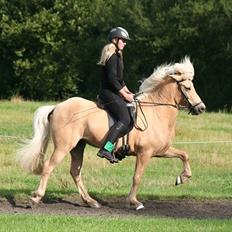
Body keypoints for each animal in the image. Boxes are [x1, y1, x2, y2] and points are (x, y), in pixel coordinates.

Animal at [16, 56, 205, 210]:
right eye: (188, 87)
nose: (201, 108)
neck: (156, 112)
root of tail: (56, 107)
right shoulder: (145, 153)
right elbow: (137, 177)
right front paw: (134, 202)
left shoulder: (161, 151)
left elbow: (184, 154)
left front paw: (182, 178)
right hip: (64, 146)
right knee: (49, 166)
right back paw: (36, 198)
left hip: (78, 146)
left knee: (75, 172)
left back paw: (91, 201)